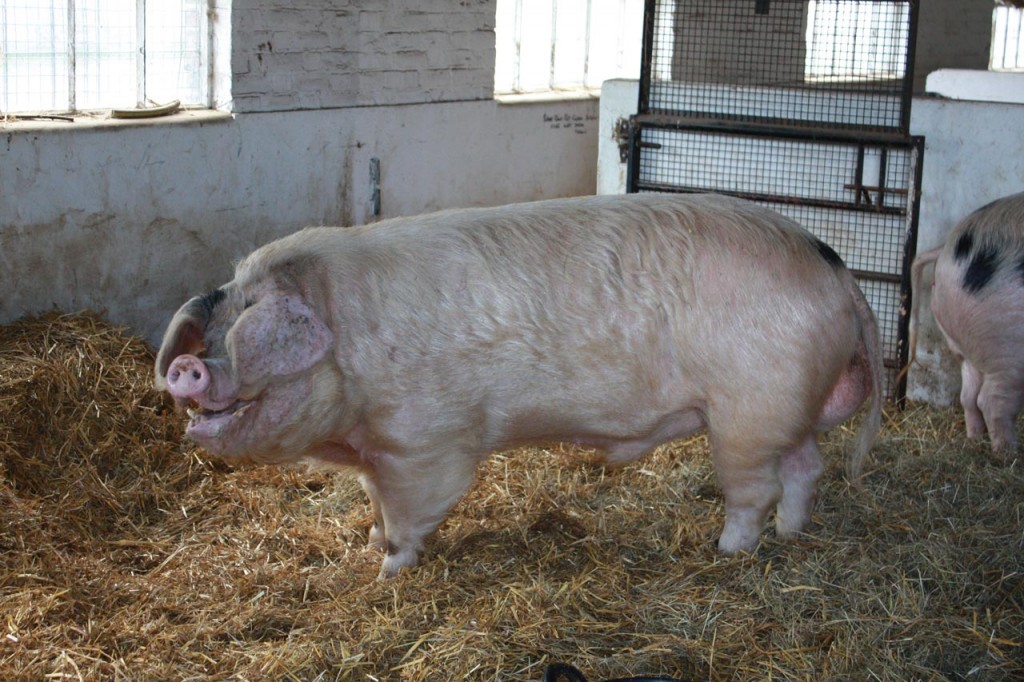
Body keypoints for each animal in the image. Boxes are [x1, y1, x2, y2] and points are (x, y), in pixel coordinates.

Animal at [155, 193, 884, 577]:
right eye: (213, 323)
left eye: (247, 328)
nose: (188, 368)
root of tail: (836, 271)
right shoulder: (377, 452)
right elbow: (375, 505)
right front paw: (364, 544)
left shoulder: (425, 443)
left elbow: (410, 515)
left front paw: (387, 570)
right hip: (787, 409)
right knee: (806, 468)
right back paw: (792, 535)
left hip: (747, 413)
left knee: (754, 491)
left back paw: (728, 549)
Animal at [913, 191, 1024, 454]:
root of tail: (946, 250)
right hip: (1009, 346)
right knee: (992, 401)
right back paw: (1008, 454)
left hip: (961, 339)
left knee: (969, 395)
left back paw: (975, 439)